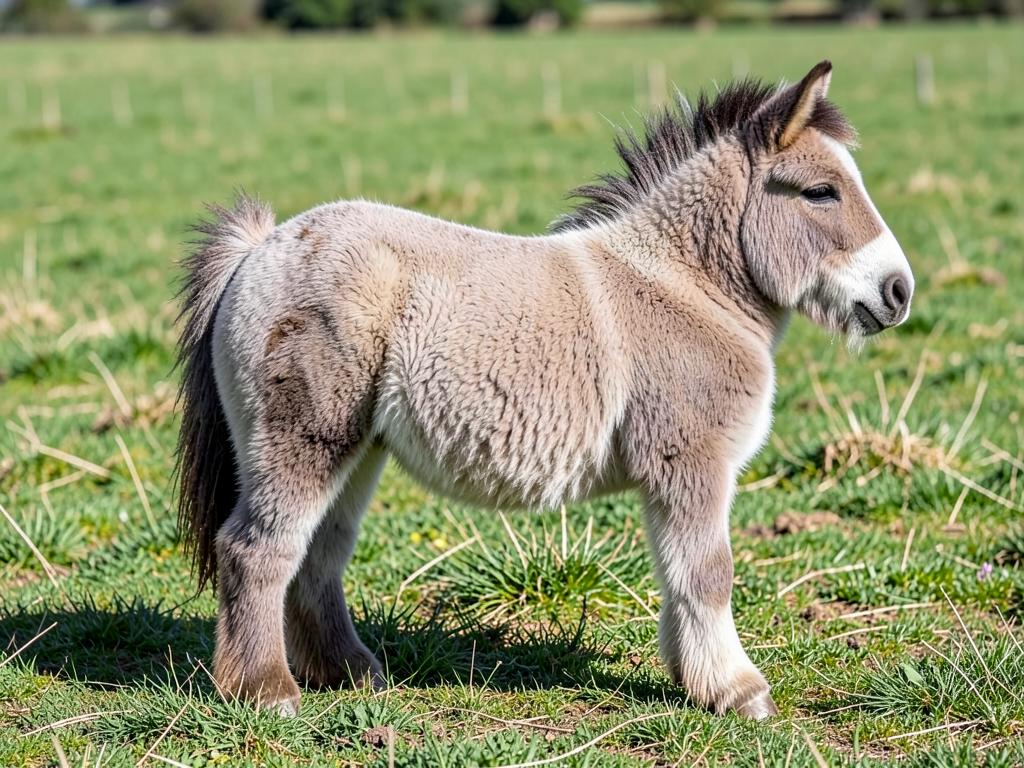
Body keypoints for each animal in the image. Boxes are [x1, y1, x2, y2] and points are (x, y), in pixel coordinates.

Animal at [175, 60, 914, 719]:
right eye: (820, 191)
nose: (899, 291)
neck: (682, 288)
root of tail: (260, 247)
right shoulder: (690, 463)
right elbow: (708, 573)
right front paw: (735, 693)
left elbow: (678, 575)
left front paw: (690, 678)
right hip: (305, 441)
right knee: (256, 549)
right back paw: (265, 692)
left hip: (358, 450)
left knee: (318, 556)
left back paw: (351, 673)